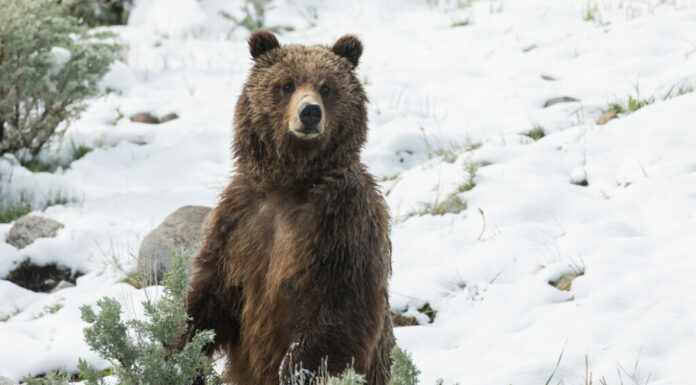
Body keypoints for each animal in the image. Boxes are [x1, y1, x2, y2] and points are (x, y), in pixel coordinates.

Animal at [185, 30, 394, 384]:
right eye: (287, 84)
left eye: (327, 87)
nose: (310, 112)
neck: (291, 183)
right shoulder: (238, 222)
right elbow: (210, 295)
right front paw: (179, 351)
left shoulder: (341, 223)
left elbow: (340, 308)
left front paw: (298, 369)